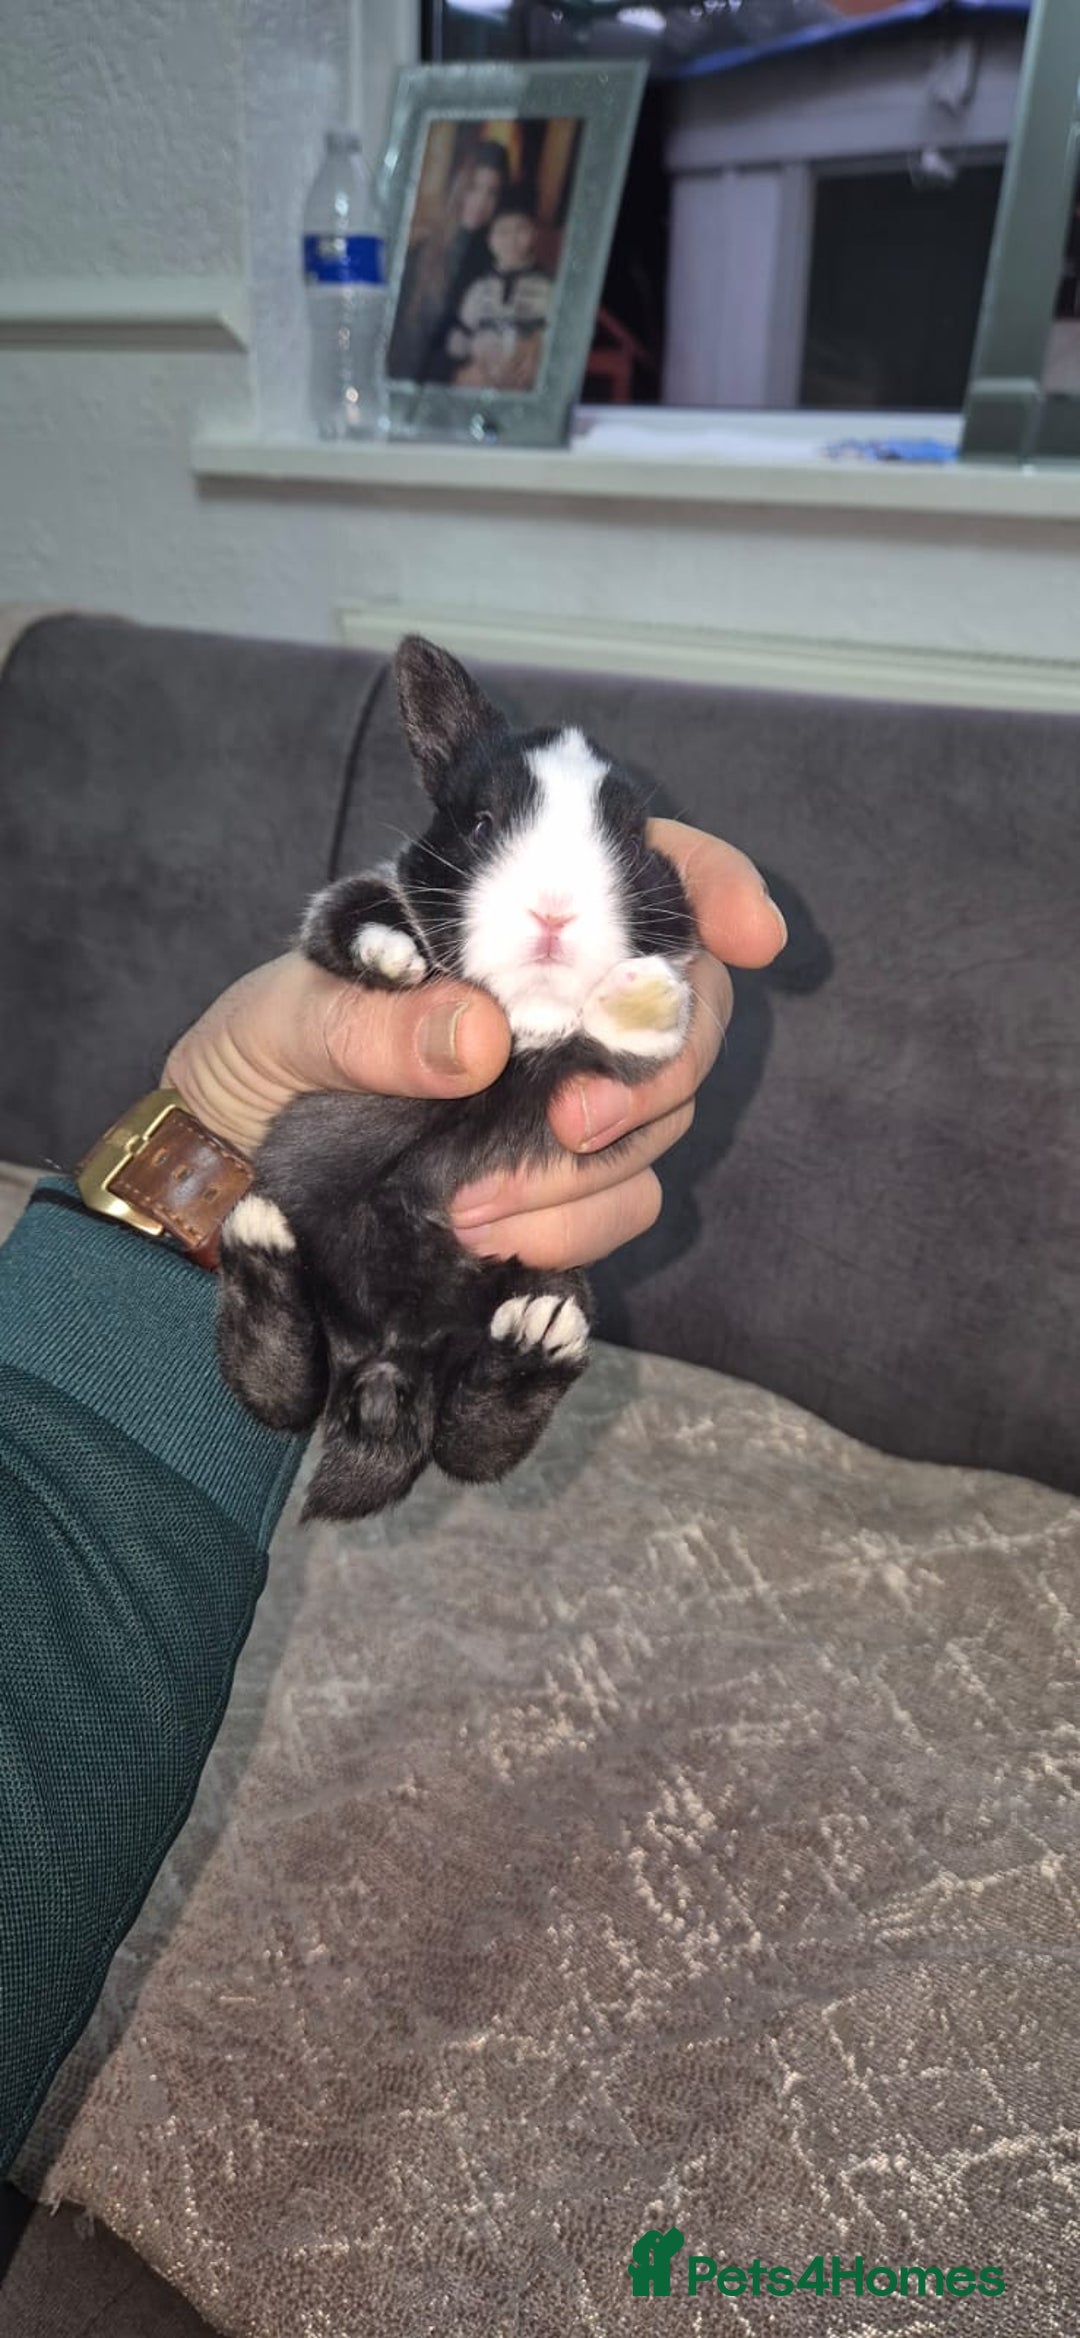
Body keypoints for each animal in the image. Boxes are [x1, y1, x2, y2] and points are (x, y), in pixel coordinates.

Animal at [216, 635, 699, 1521]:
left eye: (631, 837)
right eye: (480, 823)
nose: (553, 913)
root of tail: (385, 1371)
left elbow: (621, 1041)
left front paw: (642, 996)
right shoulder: (345, 909)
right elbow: (350, 915)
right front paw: (395, 957)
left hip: (529, 1292)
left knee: (472, 1442)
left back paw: (539, 1341)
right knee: (282, 1392)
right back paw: (260, 1241)